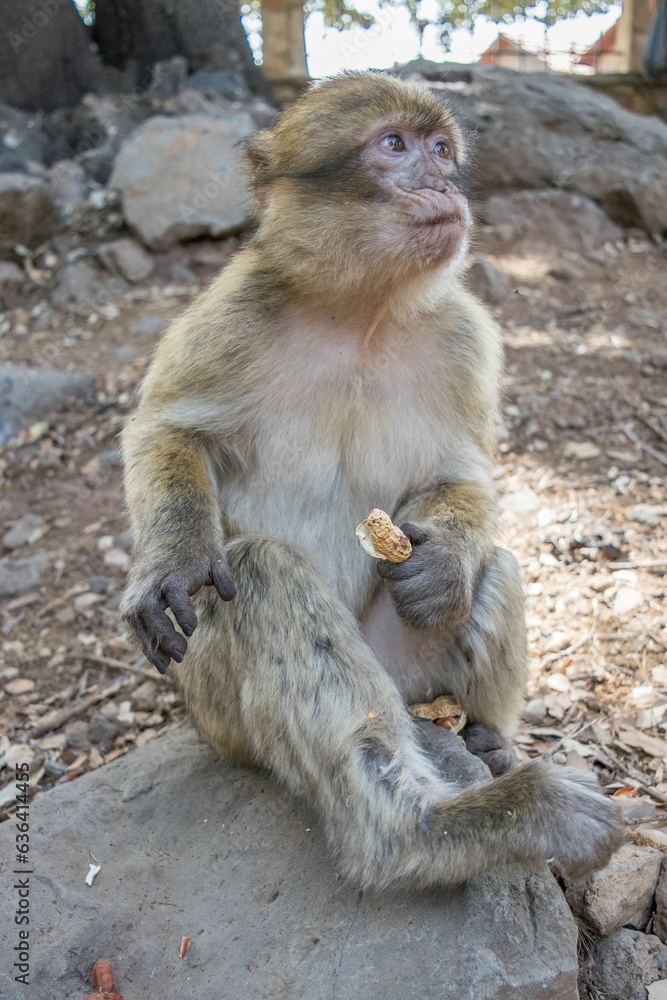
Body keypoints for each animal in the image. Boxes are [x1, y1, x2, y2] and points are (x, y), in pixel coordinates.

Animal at [120, 71, 622, 889]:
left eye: (441, 149)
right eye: (394, 145)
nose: (442, 182)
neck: (360, 314)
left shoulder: (464, 332)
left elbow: (462, 474)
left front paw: (442, 563)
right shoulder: (232, 314)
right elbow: (165, 431)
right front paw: (175, 558)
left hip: (409, 673)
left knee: (497, 565)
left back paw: (485, 741)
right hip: (218, 715)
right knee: (258, 574)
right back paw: (430, 831)